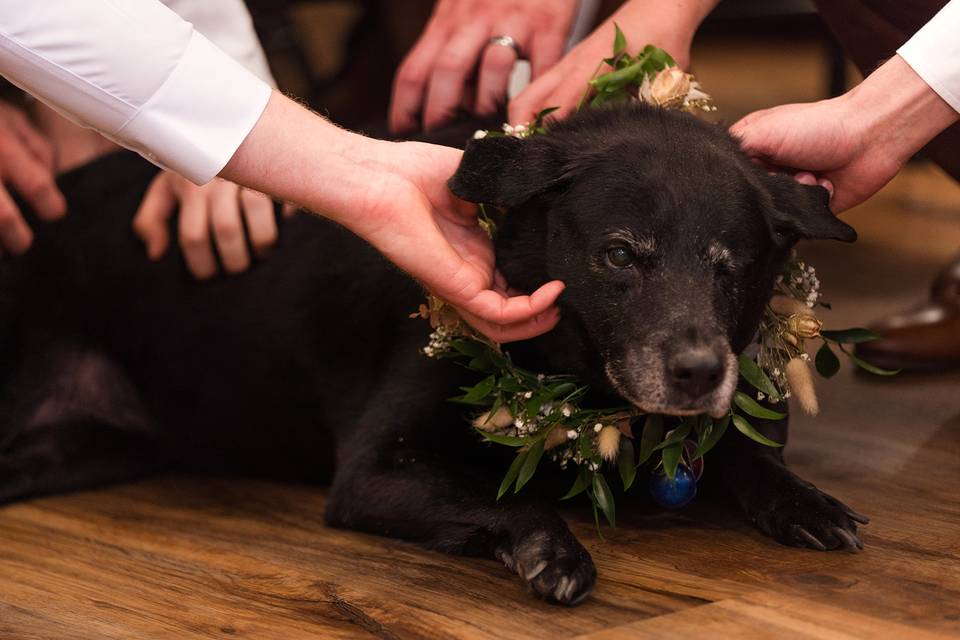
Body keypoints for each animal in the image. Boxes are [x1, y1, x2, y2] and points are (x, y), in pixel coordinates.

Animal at [0, 104, 868, 604]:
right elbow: (507, 500)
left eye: (732, 266)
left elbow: (744, 457)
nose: (699, 374)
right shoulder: (376, 469)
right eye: (621, 255)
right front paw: (550, 550)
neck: (578, 388)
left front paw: (806, 501)